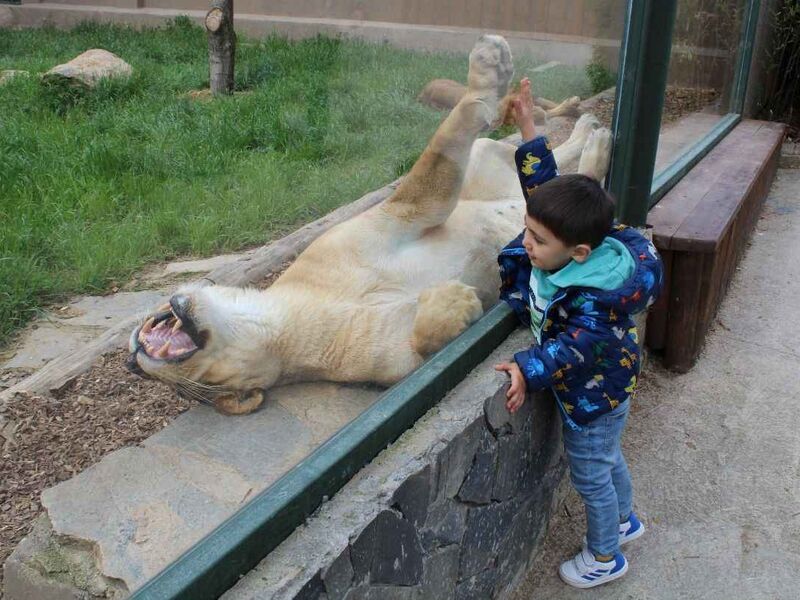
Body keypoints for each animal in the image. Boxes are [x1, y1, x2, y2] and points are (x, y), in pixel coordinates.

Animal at [128, 35, 608, 414]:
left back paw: (587, 129)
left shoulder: (402, 212)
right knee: (546, 180)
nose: (133, 360)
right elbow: (424, 343)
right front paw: (453, 301)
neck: (283, 322)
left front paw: (488, 69)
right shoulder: (396, 365)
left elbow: (436, 156)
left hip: (485, 159)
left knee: (543, 161)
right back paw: (594, 143)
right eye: (195, 390)